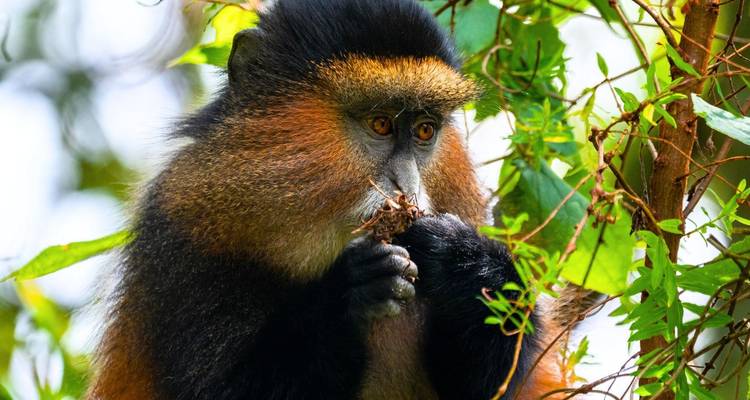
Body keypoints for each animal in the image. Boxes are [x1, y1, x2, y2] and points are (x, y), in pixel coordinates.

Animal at [88, 0, 568, 399]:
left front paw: (464, 261)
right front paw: (350, 292)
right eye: (380, 124)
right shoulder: (182, 232)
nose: (408, 187)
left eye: (425, 130)